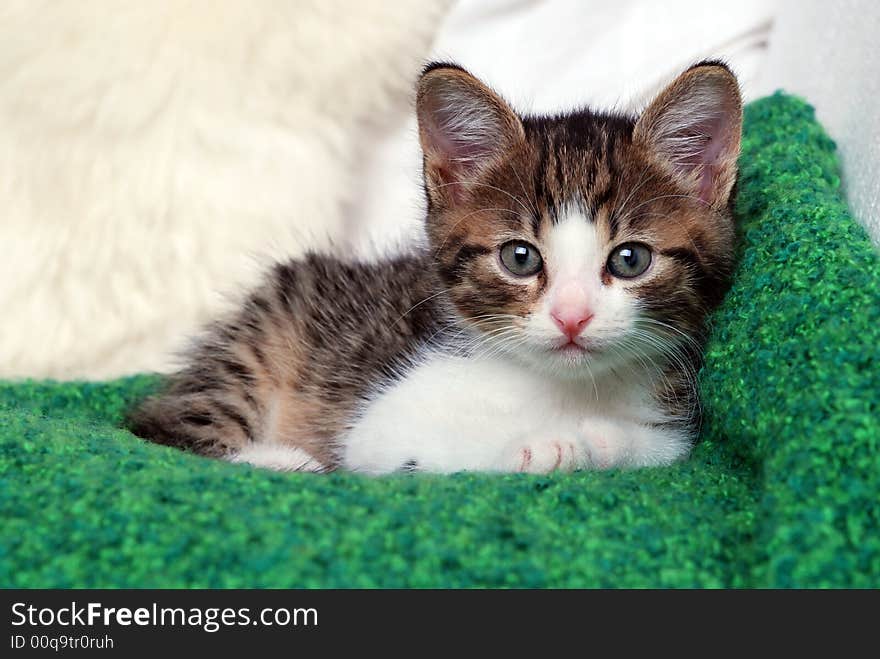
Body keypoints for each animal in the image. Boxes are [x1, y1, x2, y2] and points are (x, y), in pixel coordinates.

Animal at [127, 60, 740, 474]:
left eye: (630, 259)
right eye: (520, 257)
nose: (572, 317)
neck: (566, 389)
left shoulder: (668, 424)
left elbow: (654, 447)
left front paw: (600, 439)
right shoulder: (377, 424)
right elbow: (428, 447)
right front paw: (543, 444)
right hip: (260, 341)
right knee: (164, 427)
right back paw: (278, 459)